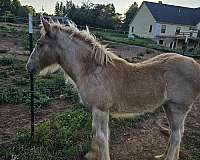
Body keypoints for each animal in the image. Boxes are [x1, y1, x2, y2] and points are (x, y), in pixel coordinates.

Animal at [26, 17, 200, 160]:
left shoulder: (101, 110)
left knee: (176, 135)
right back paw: (162, 155)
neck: (92, 69)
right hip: (168, 106)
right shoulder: (96, 111)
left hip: (178, 108)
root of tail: (195, 65)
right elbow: (95, 133)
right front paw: (91, 155)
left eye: (39, 44)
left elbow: (102, 137)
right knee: (175, 133)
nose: (29, 67)